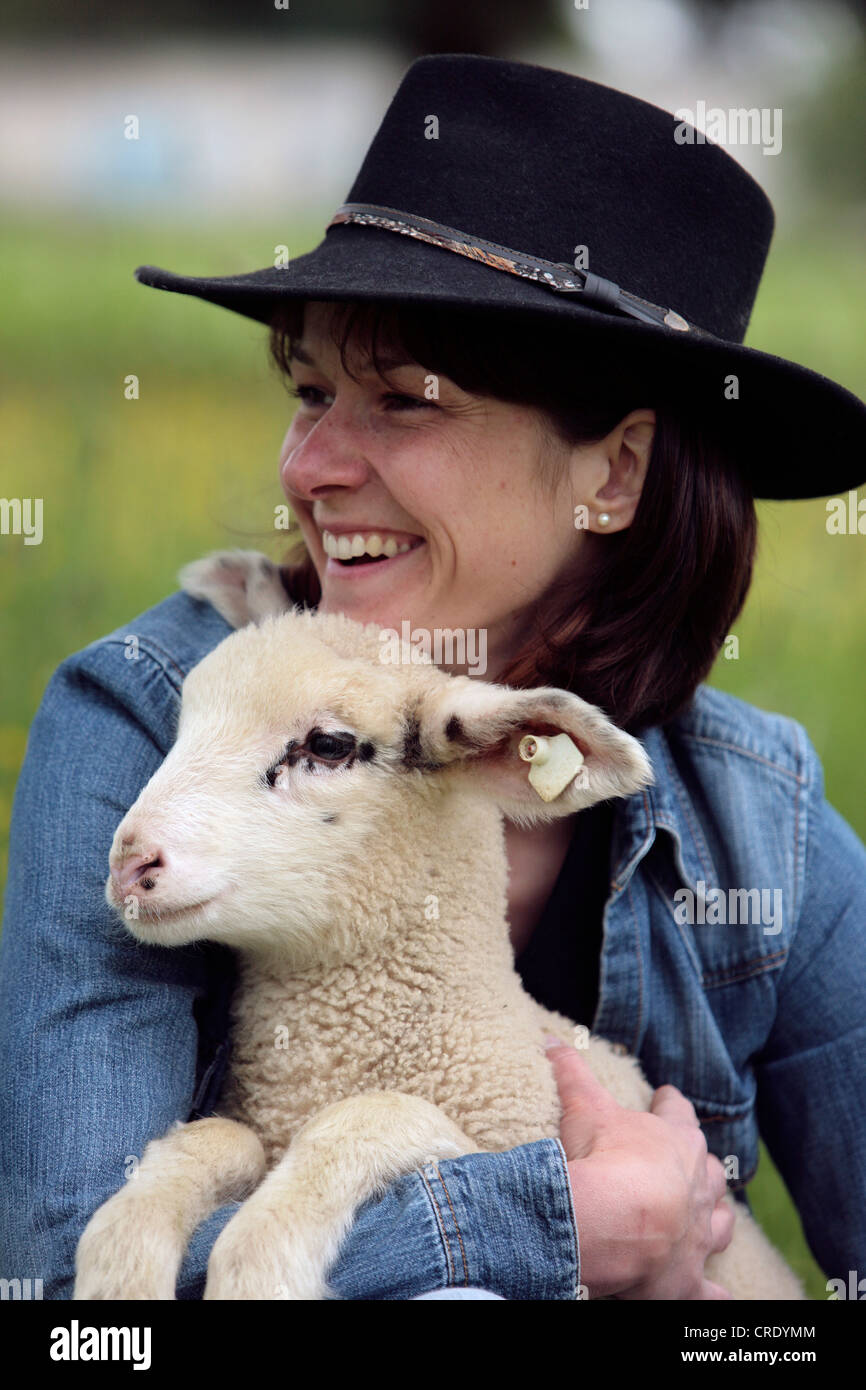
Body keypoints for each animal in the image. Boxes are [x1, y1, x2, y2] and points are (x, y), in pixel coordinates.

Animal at [72, 553, 806, 1301]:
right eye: (183, 724)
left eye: (328, 745)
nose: (131, 862)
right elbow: (216, 1138)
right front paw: (120, 1265)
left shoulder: (501, 1140)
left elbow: (374, 1116)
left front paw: (260, 1268)